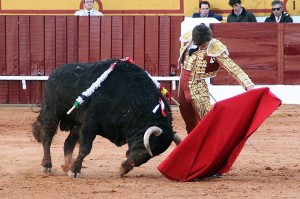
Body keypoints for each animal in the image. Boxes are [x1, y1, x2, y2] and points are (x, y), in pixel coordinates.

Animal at [31, 59, 180, 177]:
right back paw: (47, 165)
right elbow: (85, 148)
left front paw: (123, 169)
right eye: (148, 146)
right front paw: (75, 171)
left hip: (76, 122)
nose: (133, 162)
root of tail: (53, 74)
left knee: (68, 142)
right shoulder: (90, 123)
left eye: (154, 153)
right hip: (52, 112)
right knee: (47, 136)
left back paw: (67, 166)